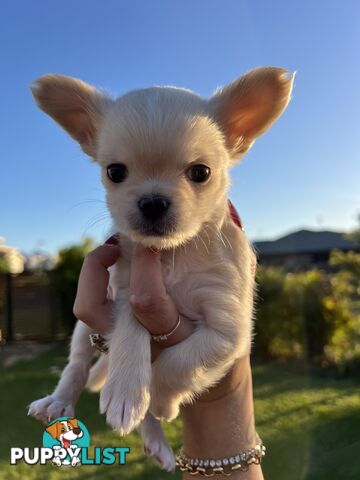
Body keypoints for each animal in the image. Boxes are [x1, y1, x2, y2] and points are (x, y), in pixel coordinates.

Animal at [27, 66, 292, 468]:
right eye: (114, 171)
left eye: (200, 172)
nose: (152, 202)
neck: (170, 257)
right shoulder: (126, 292)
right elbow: (132, 330)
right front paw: (127, 388)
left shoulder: (228, 332)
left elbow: (174, 365)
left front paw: (160, 400)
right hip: (81, 329)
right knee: (76, 366)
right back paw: (59, 402)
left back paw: (155, 436)